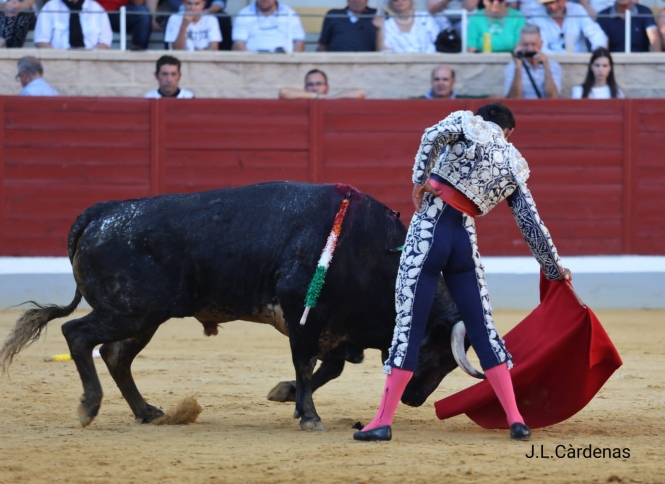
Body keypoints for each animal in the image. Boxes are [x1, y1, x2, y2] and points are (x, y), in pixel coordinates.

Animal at [1, 182, 478, 432]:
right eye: (440, 356)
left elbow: (328, 368)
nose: (414, 399)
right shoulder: (303, 314)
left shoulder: (336, 328)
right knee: (78, 335)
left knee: (116, 355)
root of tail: (102, 213)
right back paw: (89, 406)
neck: (373, 251)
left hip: (144, 316)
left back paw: (147, 412)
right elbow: (308, 364)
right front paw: (308, 416)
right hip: (131, 310)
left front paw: (286, 395)